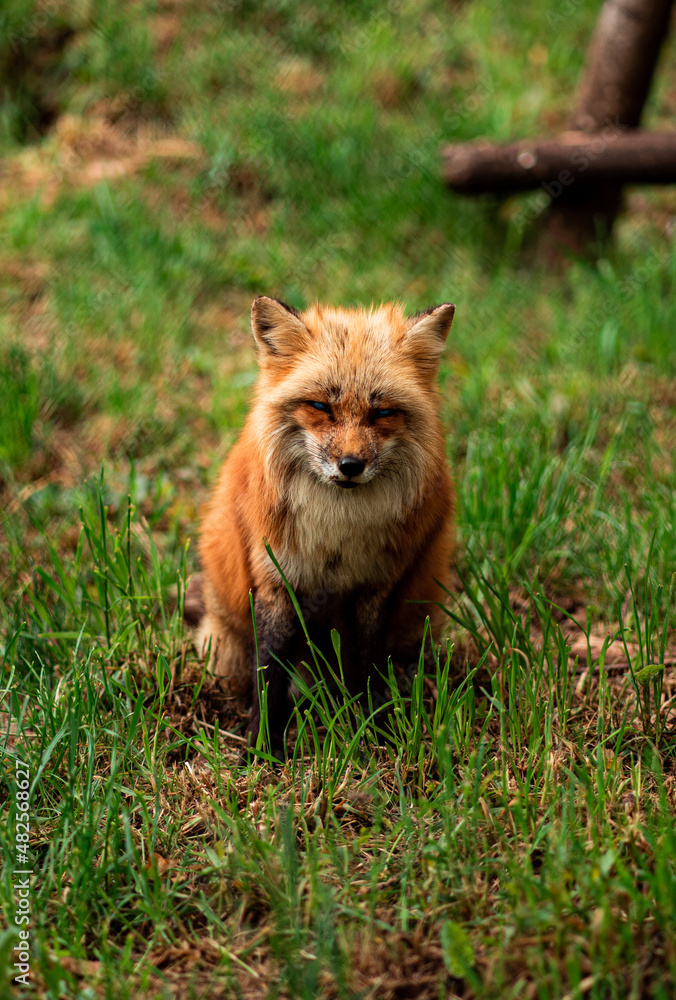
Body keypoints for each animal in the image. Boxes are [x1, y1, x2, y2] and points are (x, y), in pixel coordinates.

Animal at [187, 292, 456, 748]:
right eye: (320, 407)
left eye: (382, 413)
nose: (350, 465)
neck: (336, 535)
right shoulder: (276, 579)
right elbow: (269, 676)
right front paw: (263, 749)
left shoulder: (375, 587)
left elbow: (368, 666)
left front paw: (374, 729)